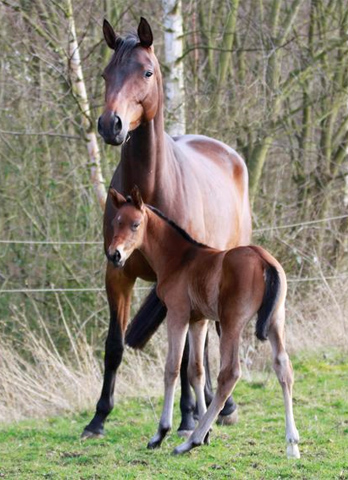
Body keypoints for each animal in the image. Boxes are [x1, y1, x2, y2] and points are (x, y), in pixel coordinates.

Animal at [107, 187, 300, 458]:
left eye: (135, 224)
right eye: (116, 222)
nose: (115, 254)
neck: (180, 260)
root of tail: (265, 261)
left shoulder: (177, 315)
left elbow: (172, 368)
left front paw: (161, 433)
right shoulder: (199, 321)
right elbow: (196, 370)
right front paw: (207, 434)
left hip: (231, 323)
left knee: (229, 374)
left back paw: (190, 442)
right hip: (275, 321)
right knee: (283, 366)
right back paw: (292, 444)